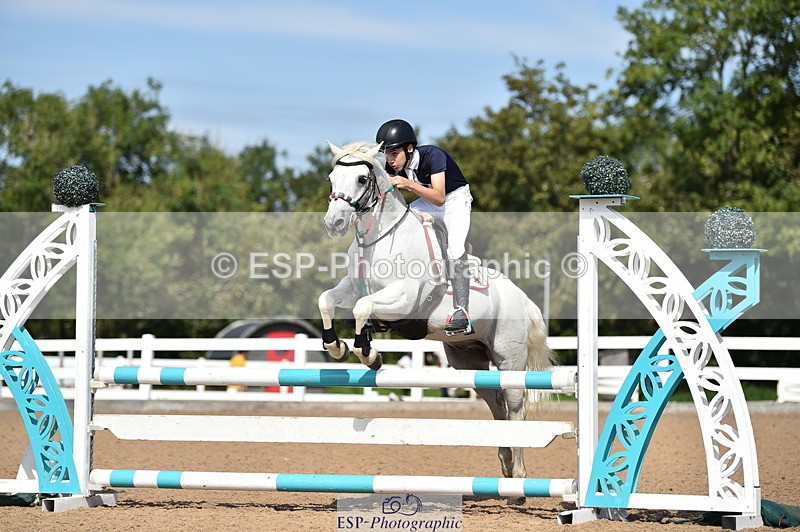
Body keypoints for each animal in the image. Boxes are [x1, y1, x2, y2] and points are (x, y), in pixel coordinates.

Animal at [318, 141, 555, 504]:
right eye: (332, 178)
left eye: (361, 178)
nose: (334, 222)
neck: (379, 238)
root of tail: (522, 298)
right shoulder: (350, 287)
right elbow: (327, 300)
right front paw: (336, 346)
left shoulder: (403, 298)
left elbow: (361, 308)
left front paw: (369, 354)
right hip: (468, 362)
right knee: (496, 405)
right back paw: (504, 466)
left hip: (510, 359)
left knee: (516, 408)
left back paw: (518, 482)